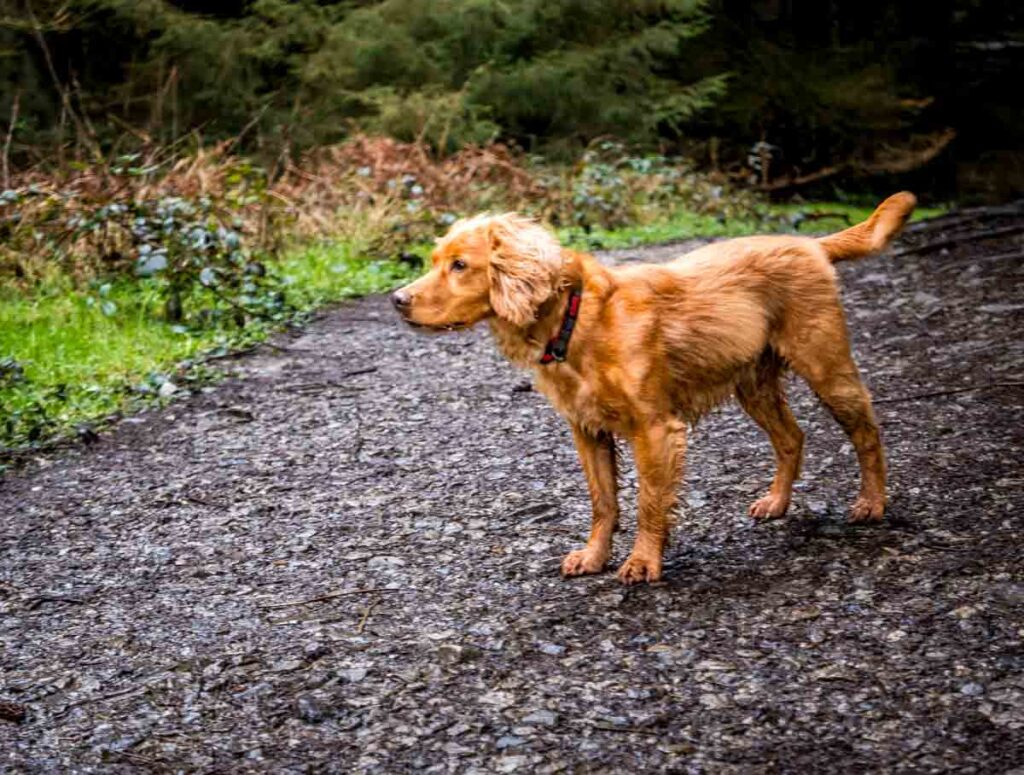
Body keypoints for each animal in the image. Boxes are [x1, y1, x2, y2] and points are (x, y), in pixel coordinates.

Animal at [393, 192, 921, 581]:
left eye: (460, 265)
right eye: (434, 260)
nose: (397, 299)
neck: (577, 320)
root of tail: (812, 244)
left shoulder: (654, 428)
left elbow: (649, 501)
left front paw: (643, 561)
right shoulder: (587, 431)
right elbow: (604, 502)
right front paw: (594, 557)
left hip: (826, 366)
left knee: (867, 433)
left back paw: (872, 504)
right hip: (753, 384)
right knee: (792, 437)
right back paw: (777, 502)